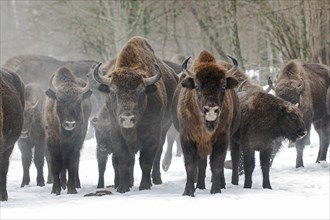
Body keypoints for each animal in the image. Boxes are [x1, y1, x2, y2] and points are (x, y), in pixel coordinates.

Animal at [43, 66, 93, 194]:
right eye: (59, 100)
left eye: (79, 101)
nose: (70, 124)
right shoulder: (52, 143)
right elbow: (56, 165)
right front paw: (56, 189)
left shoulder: (75, 144)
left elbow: (72, 164)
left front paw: (72, 189)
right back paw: (63, 184)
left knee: (75, 164)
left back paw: (75, 183)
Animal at [91, 35, 179, 192]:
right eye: (113, 92)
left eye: (141, 92)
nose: (127, 118)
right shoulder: (117, 134)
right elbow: (125, 160)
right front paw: (123, 187)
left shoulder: (152, 135)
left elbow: (146, 161)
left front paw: (144, 186)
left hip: (164, 129)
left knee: (158, 154)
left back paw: (156, 179)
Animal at [170, 51, 240, 196]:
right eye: (197, 86)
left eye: (223, 86)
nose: (211, 109)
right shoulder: (187, 138)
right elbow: (190, 165)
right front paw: (188, 191)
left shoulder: (222, 138)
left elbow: (217, 164)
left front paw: (216, 190)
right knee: (201, 163)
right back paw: (200, 185)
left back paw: (219, 184)